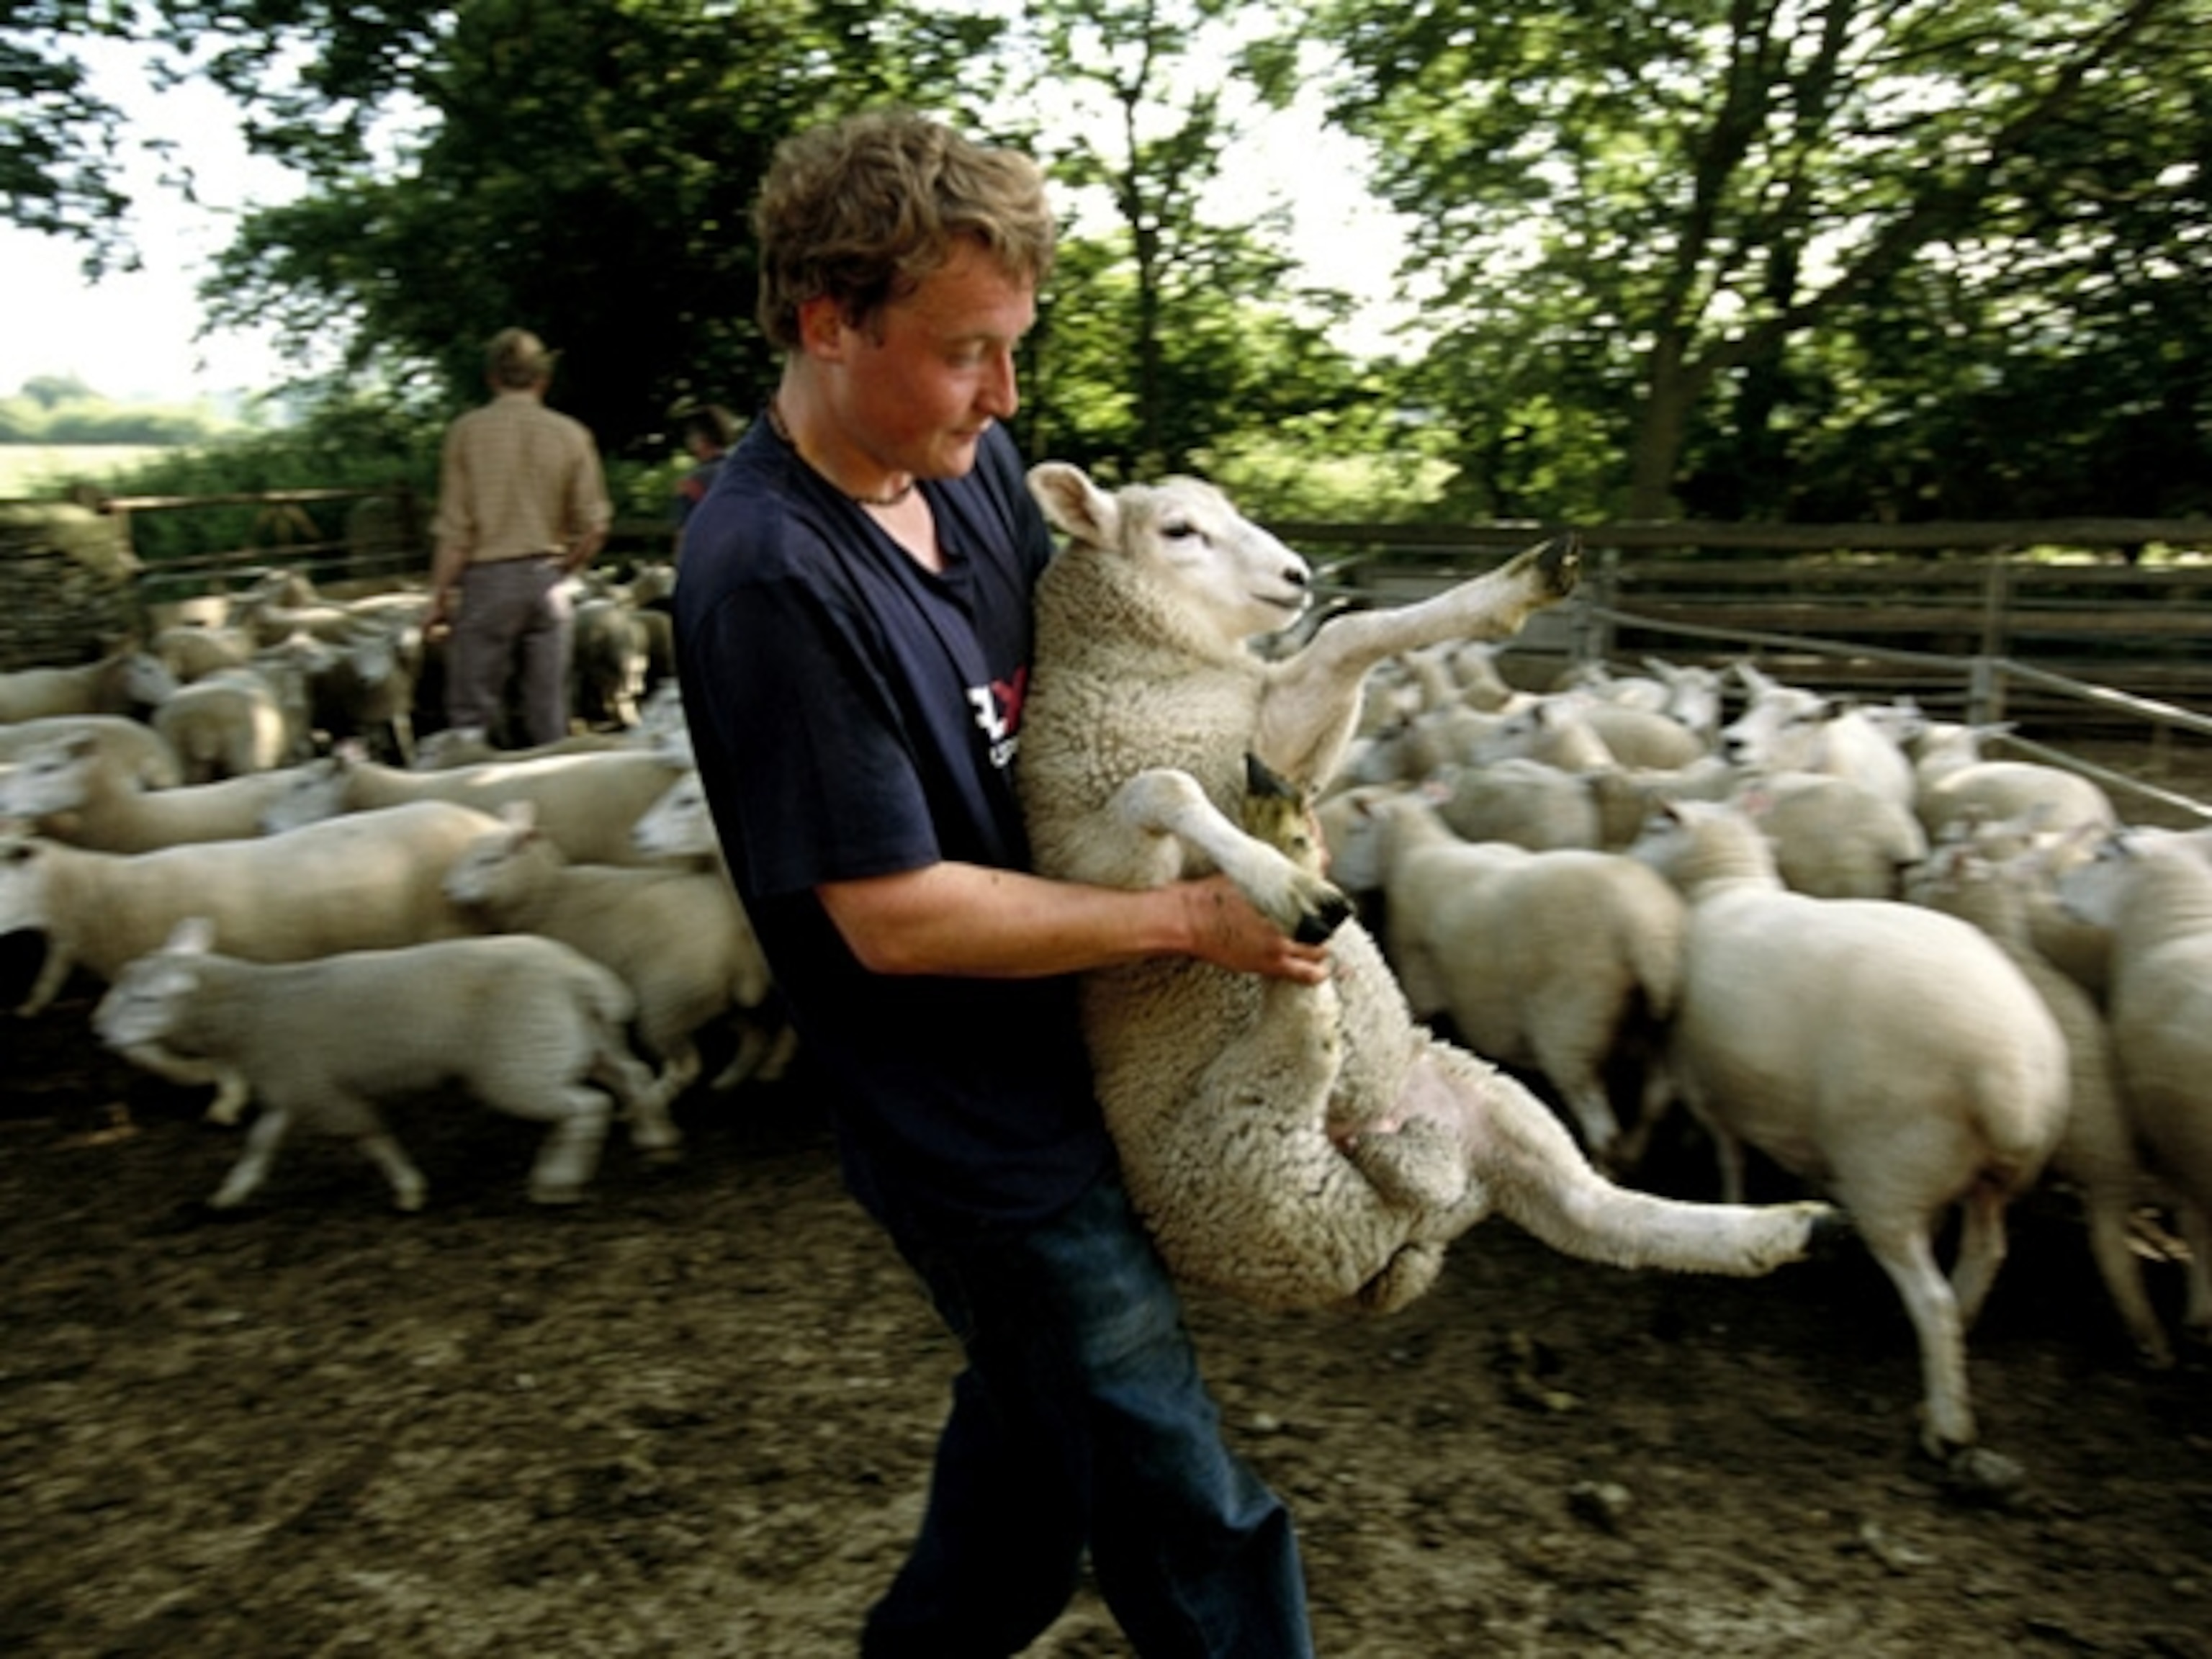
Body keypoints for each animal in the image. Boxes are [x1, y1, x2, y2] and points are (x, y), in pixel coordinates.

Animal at [94, 917, 661, 1211]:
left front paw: (409, 1188)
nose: (99, 1031)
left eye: (146, 998)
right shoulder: (294, 1087)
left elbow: (370, 1134)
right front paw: (234, 1190)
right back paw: (656, 1138)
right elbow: (262, 1140)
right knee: (632, 1077)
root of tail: (576, 975)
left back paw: (558, 1179)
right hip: (580, 1040)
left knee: (588, 1107)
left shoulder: (320, 1092)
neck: (256, 1009)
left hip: (519, 1066)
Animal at [441, 802, 779, 1113]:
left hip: (668, 996)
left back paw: (649, 1101)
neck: (551, 894)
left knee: (687, 1063)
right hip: (716, 996)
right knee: (754, 1035)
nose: (446, 890)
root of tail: (738, 933)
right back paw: (732, 1078)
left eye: (491, 860)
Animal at [1326, 789, 1688, 1171]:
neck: (1413, 849)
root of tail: (1645, 931)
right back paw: (1633, 1152)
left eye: (1355, 829)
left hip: (1573, 1030)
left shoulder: (1417, 980)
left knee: (1603, 1130)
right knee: (1657, 1100)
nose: (1338, 878)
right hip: (1657, 1029)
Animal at [1630, 797, 2070, 1474]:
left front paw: (1718, 1198)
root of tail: (2012, 1082)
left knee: (1931, 1299)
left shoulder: (1700, 1078)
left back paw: (1946, 1424)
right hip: (1982, 1177)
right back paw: (1956, 1335)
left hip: (1890, 1171)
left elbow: (1719, 1147)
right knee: (1984, 1254)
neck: (1723, 886)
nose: (1623, 856)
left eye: (1654, 826)